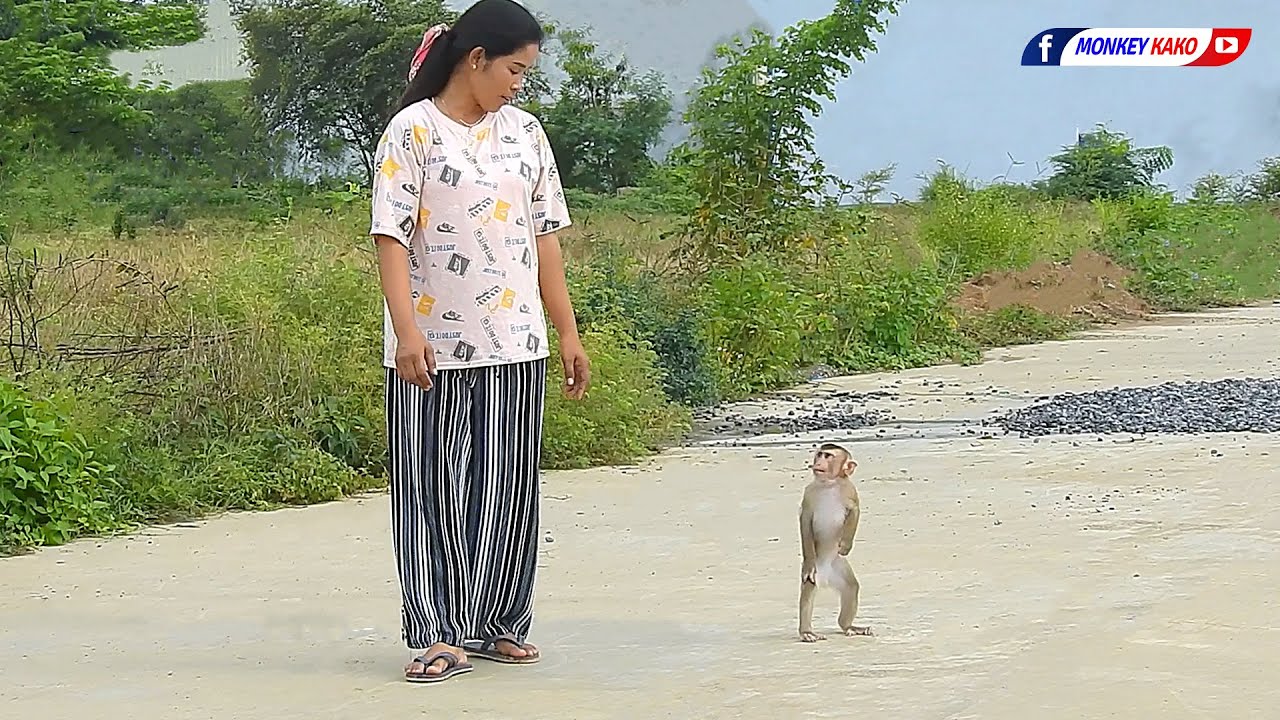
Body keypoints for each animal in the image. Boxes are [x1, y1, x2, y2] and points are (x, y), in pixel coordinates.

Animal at [797, 442, 873, 642]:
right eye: (820, 455)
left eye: (828, 456)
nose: (818, 462)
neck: (829, 485)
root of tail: (825, 579)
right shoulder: (809, 493)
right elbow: (805, 520)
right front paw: (808, 562)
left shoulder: (849, 490)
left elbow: (855, 510)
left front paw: (845, 545)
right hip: (817, 573)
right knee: (808, 590)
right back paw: (806, 631)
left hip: (839, 568)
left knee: (851, 588)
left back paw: (848, 626)